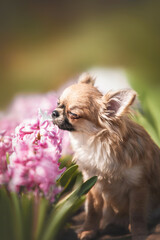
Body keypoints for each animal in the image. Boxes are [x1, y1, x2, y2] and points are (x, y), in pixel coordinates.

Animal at [52, 74, 160, 239]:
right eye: (58, 103)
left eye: (73, 114)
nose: (54, 112)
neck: (95, 143)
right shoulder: (93, 184)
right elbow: (93, 210)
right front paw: (87, 230)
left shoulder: (138, 186)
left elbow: (137, 213)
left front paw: (139, 233)